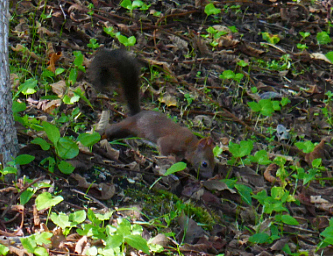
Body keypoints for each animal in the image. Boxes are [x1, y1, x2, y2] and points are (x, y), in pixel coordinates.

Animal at [89, 48, 213, 178]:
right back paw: (103, 136)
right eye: (205, 164)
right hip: (129, 125)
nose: (209, 176)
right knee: (113, 129)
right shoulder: (171, 142)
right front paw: (169, 160)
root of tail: (137, 114)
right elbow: (163, 148)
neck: (190, 145)